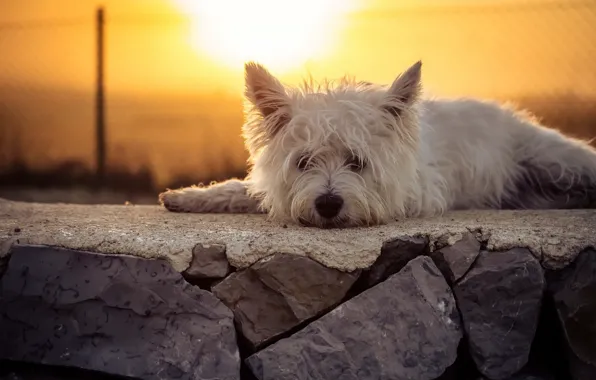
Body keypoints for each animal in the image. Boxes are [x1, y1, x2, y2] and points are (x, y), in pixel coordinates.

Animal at [158, 62, 596, 227]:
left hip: (554, 157)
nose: (328, 204)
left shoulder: (424, 189)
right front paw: (189, 196)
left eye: (357, 162)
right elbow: (245, 189)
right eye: (304, 162)